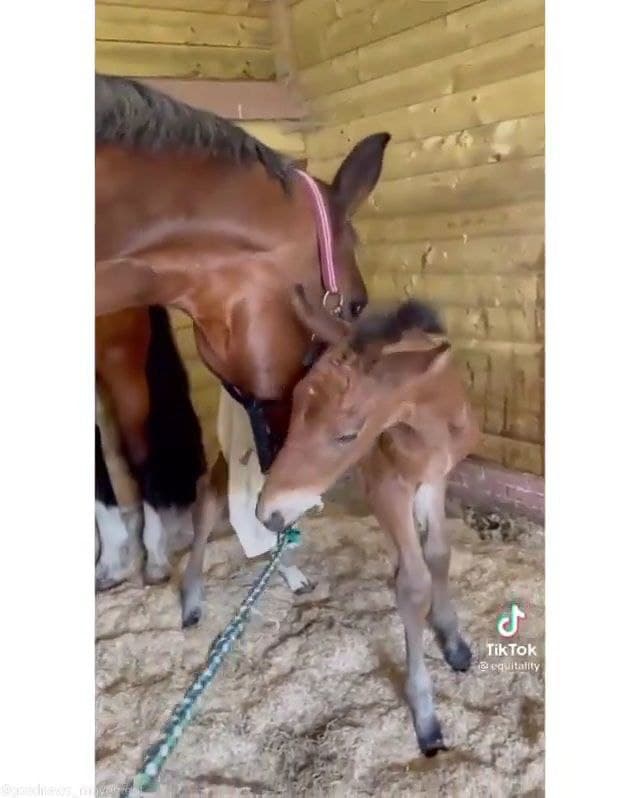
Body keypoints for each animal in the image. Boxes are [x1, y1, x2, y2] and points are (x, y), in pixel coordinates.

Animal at [255, 289, 481, 757]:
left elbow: (438, 554)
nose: (268, 511)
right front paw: (425, 716)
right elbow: (412, 583)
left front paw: (452, 642)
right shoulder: (386, 488)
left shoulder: (435, 478)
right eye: (296, 400)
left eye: (347, 434)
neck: (429, 429)